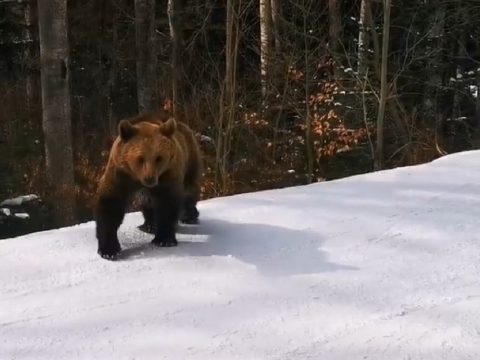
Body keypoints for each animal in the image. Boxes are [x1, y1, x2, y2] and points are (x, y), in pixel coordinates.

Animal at [94, 112, 202, 258]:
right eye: (140, 158)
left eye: (159, 158)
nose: (149, 179)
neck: (136, 178)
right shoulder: (120, 173)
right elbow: (111, 204)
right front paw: (109, 249)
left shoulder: (167, 174)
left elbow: (167, 203)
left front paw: (164, 239)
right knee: (147, 202)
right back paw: (149, 225)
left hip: (189, 158)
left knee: (190, 190)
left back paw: (189, 216)